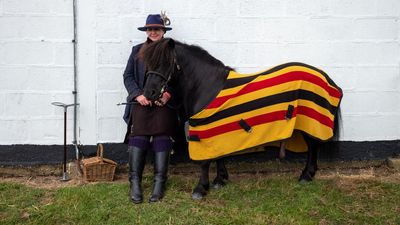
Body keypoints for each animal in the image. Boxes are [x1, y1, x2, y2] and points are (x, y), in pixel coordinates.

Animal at [140, 37, 340, 200]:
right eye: (148, 63)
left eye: (166, 62)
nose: (149, 93)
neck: (207, 86)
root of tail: (327, 78)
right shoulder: (215, 127)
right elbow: (219, 154)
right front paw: (220, 180)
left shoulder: (203, 131)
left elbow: (204, 162)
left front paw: (200, 189)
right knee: (313, 146)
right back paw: (309, 175)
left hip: (311, 120)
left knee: (313, 145)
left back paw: (306, 176)